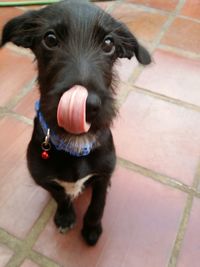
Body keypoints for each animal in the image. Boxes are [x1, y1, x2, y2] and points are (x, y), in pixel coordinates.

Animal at [0, 0, 150, 247]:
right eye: (50, 39)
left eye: (109, 43)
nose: (87, 105)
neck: (75, 144)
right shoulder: (43, 178)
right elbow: (60, 195)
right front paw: (65, 217)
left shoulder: (103, 175)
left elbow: (98, 203)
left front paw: (91, 228)